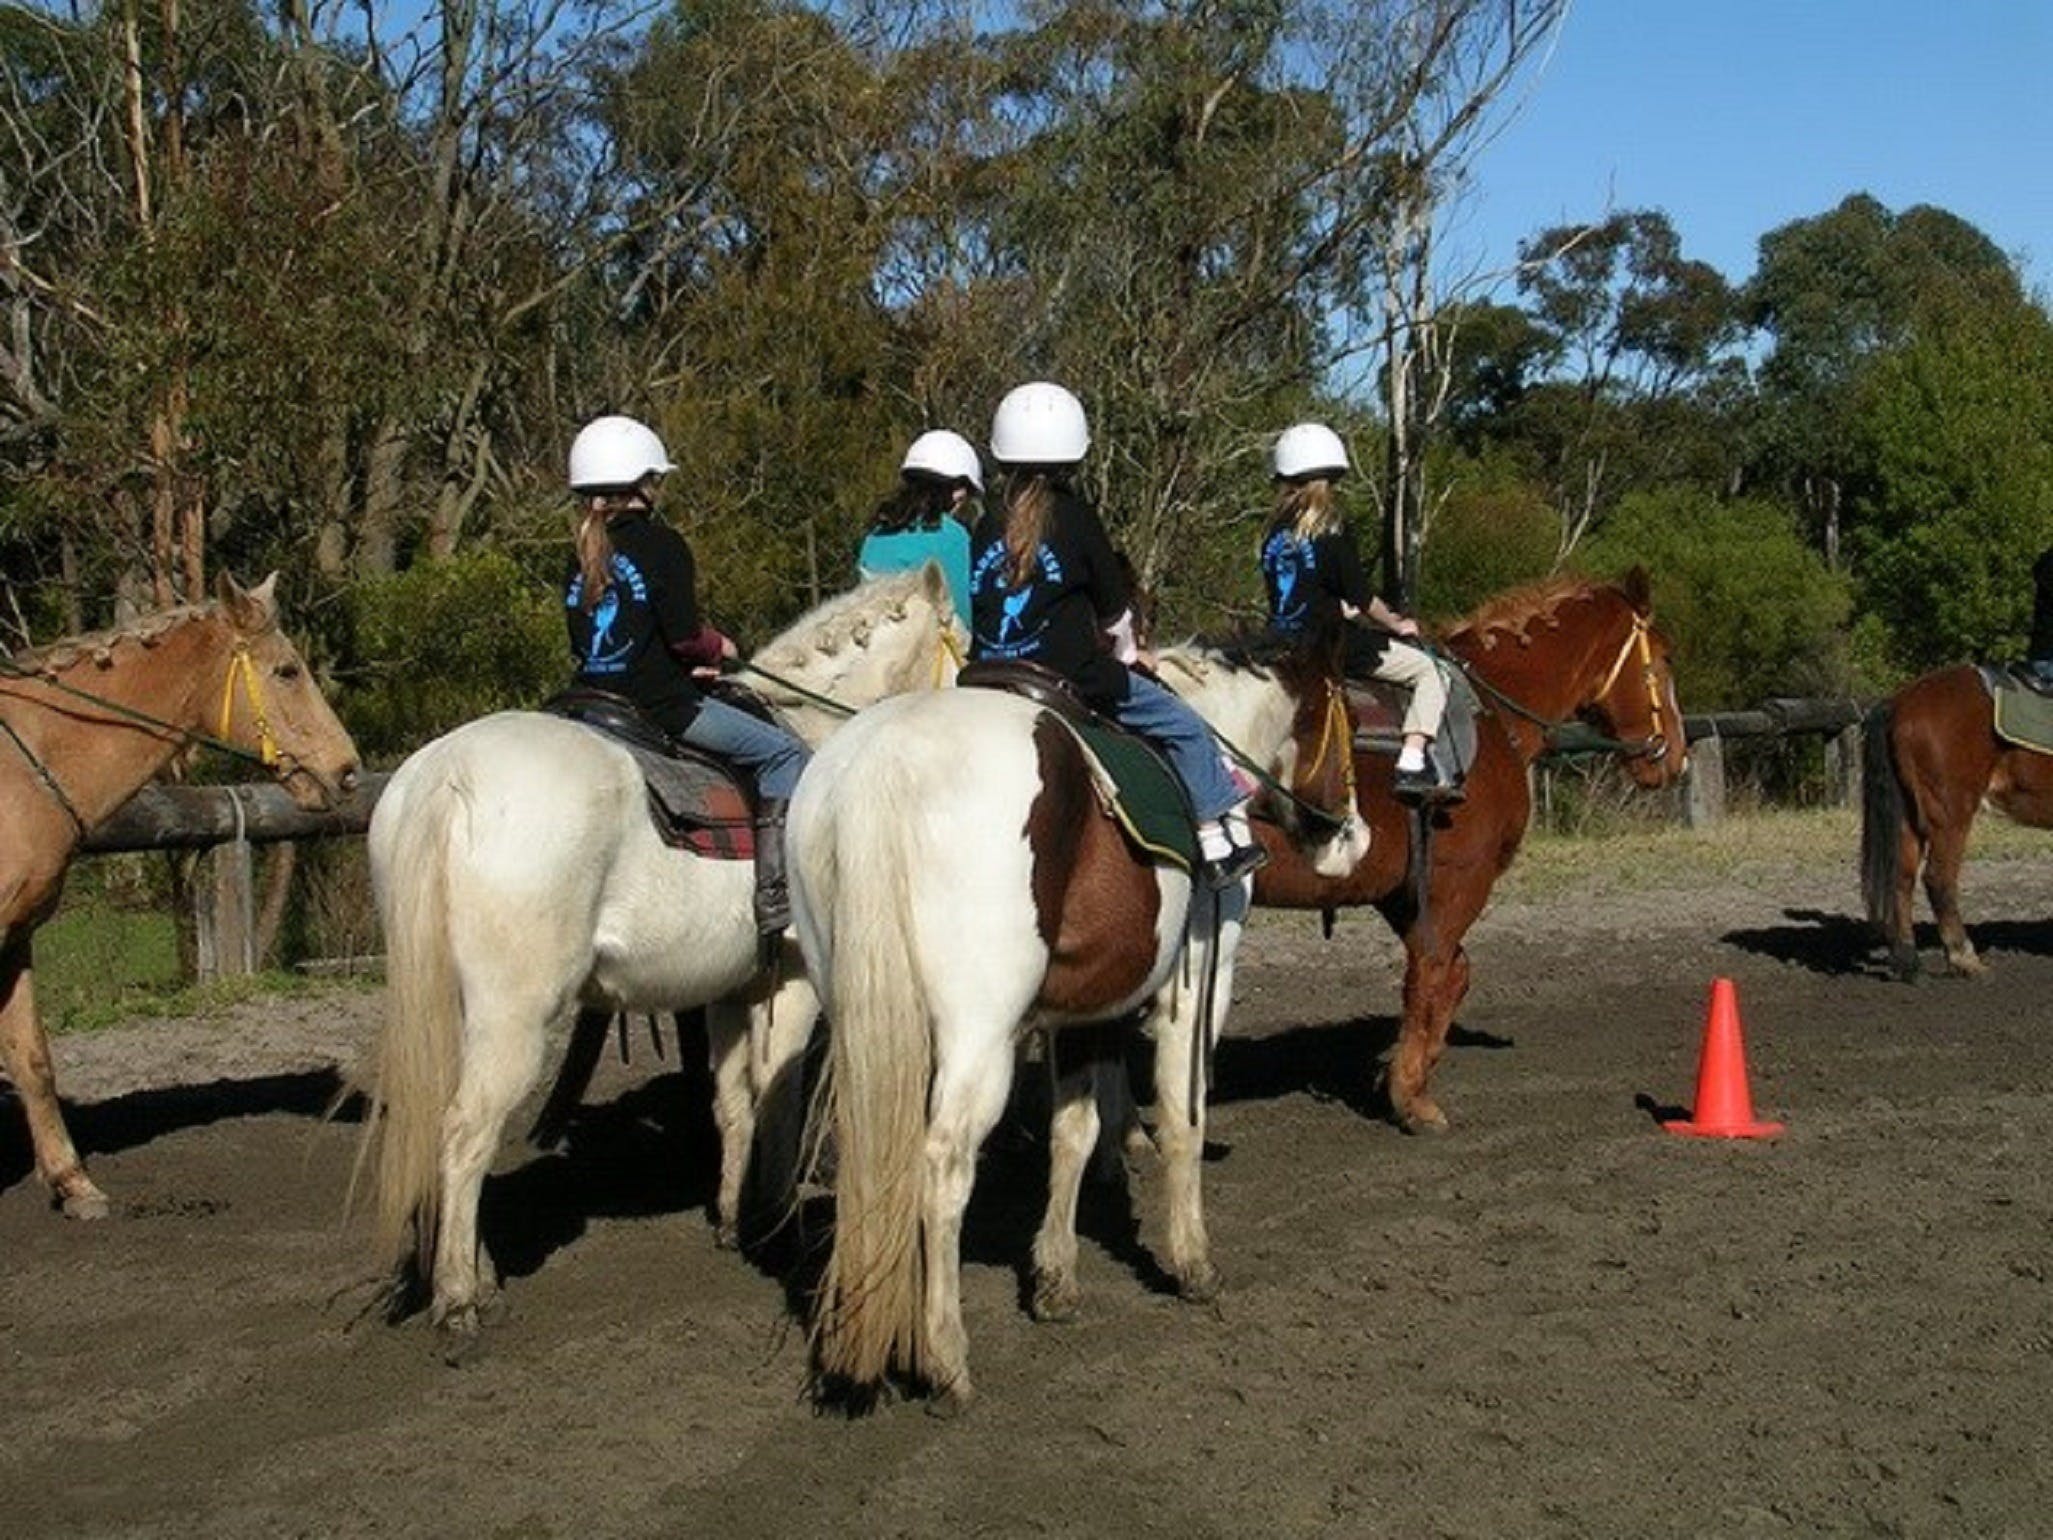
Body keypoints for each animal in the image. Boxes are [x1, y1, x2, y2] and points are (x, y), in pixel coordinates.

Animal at [0, 574, 361, 1223]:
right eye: (287, 670)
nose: (347, 771)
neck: (22, 765)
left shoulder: (16, 937)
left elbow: (32, 1058)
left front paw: (72, 1182)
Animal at [357, 562, 964, 1338]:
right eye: (961, 637)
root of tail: (448, 776)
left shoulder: (733, 989)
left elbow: (734, 1101)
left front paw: (735, 1219)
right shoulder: (794, 983)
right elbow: (778, 1096)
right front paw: (780, 1226)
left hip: (452, 1006)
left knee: (439, 1122)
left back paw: (475, 1274)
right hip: (512, 1017)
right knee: (465, 1132)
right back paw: (459, 1296)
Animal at [792, 636, 1371, 1412]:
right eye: (1348, 717)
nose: (1353, 840)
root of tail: (885, 759)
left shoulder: (1085, 1009)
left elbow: (1073, 1133)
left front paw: (1055, 1278)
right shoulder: (1199, 986)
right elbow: (1181, 1123)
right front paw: (1192, 1262)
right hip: (977, 1037)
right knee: (942, 1168)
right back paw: (945, 1357)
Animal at [1248, 574, 1683, 1141]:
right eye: (1664, 657)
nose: (1677, 756)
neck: (1491, 713)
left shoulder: (1404, 891)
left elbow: (1455, 973)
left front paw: (1407, 1073)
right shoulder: (1458, 882)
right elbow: (1430, 975)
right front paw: (1411, 1096)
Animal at [1864, 665, 2053, 977]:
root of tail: (1899, 702)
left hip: (1909, 816)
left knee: (1903, 878)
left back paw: (1907, 959)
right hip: (1950, 816)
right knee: (1938, 879)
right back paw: (1963, 957)